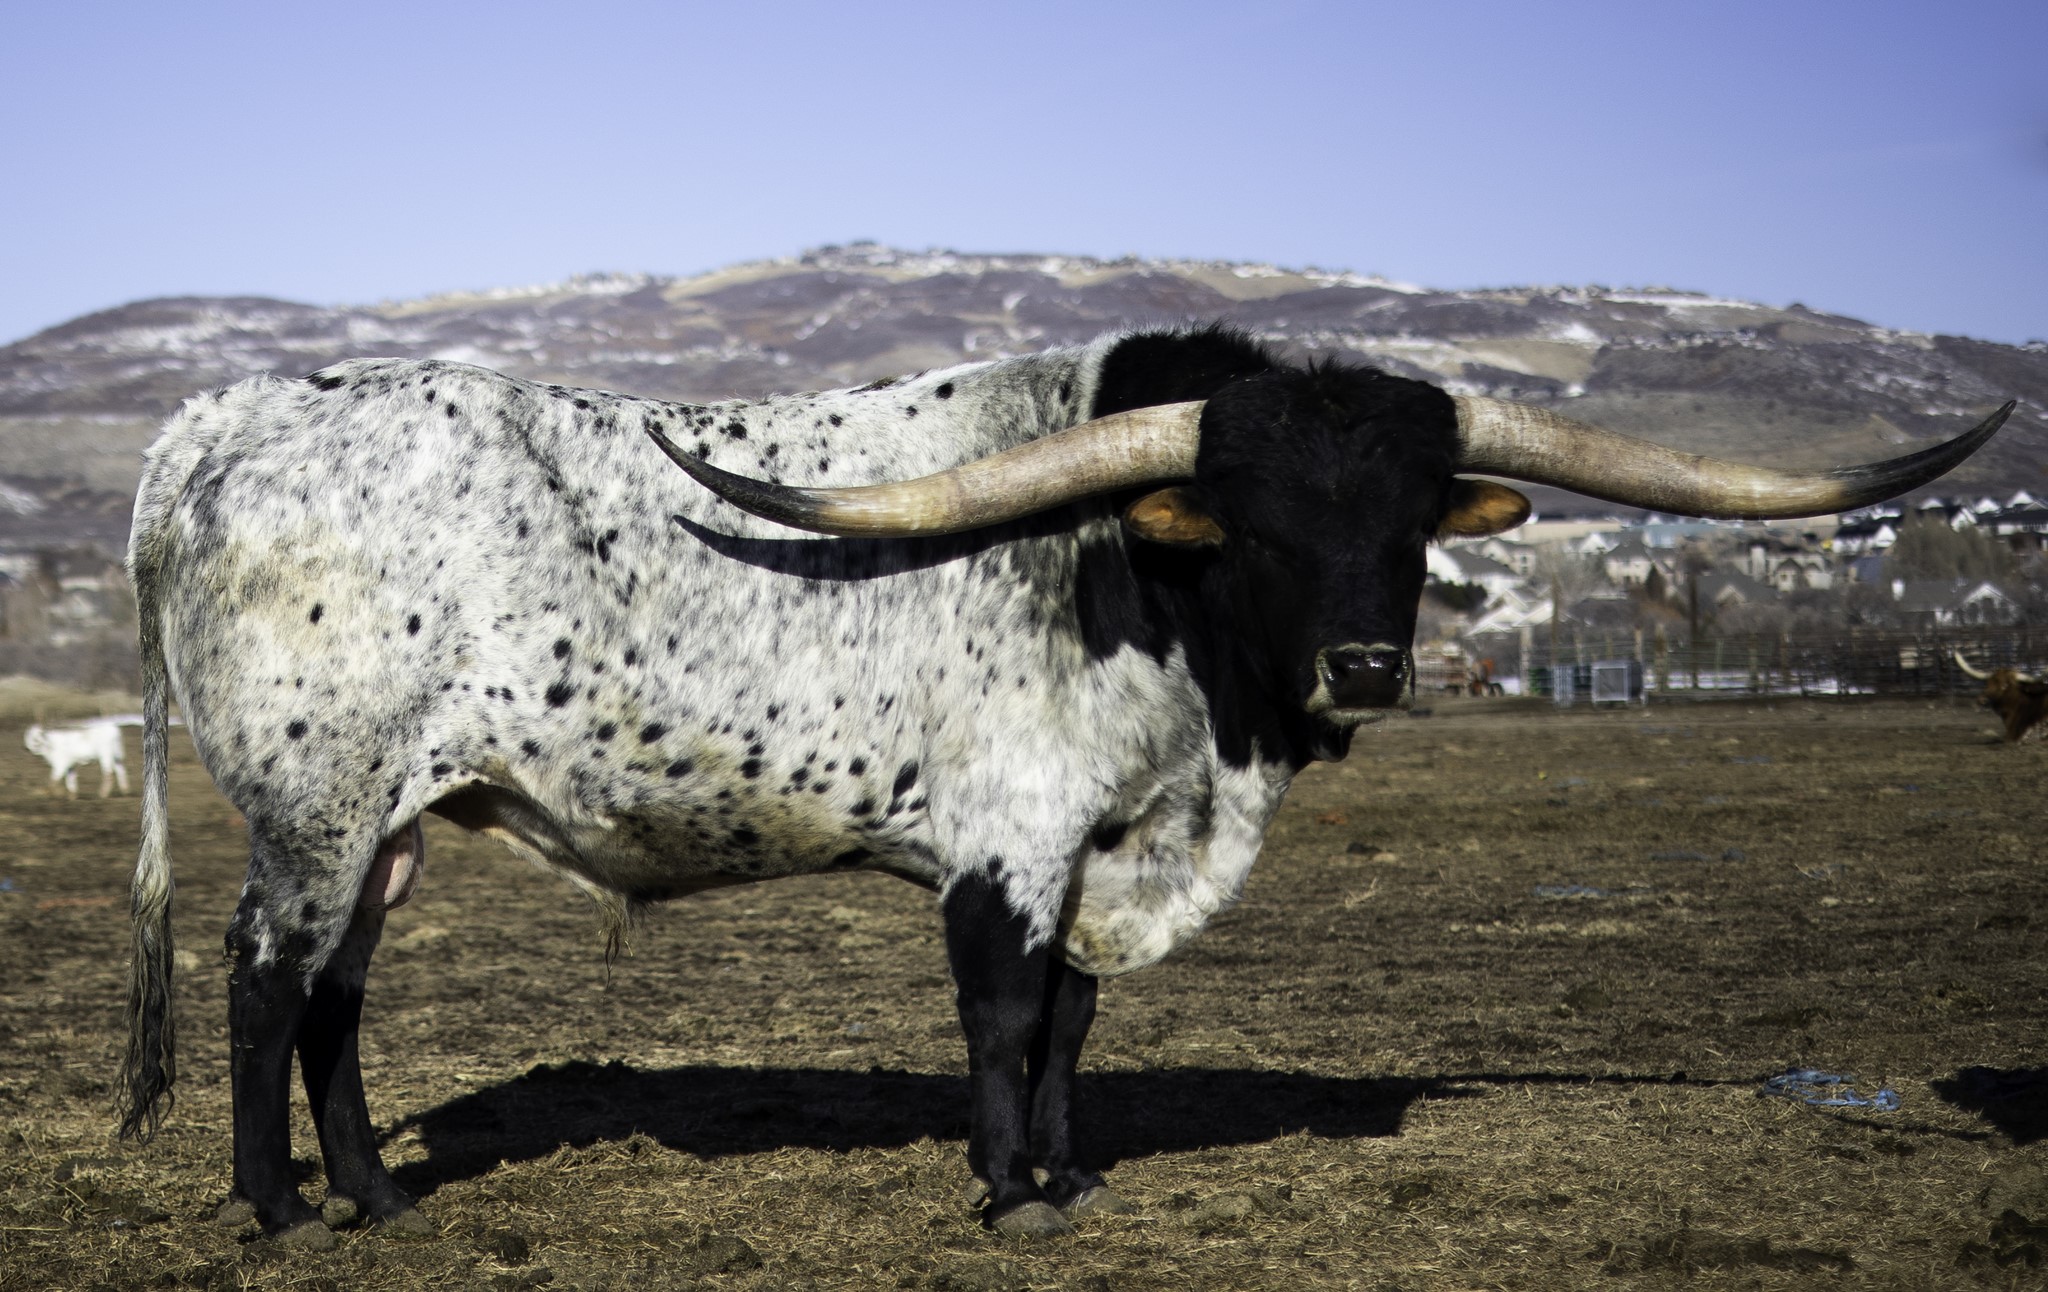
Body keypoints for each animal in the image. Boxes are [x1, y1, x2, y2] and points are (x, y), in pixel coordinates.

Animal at [115, 326, 2009, 1248]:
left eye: (1405, 522)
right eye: (1251, 518)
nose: (1365, 666)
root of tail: (225, 423)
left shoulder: (1104, 843)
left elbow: (1078, 1026)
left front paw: (1070, 1173)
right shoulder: (1007, 845)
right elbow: (1008, 1013)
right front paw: (1011, 1191)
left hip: (389, 828)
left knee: (334, 1001)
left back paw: (371, 1196)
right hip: (316, 811)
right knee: (262, 982)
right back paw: (275, 1211)